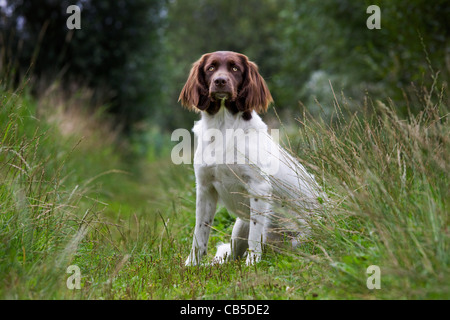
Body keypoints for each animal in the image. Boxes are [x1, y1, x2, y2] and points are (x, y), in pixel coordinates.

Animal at [179, 50, 324, 264]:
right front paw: (191, 265)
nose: (220, 81)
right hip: (239, 226)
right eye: (211, 68)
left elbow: (255, 234)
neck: (223, 127)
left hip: (297, 238)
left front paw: (253, 263)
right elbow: (200, 233)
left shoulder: (259, 187)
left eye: (235, 68)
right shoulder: (205, 187)